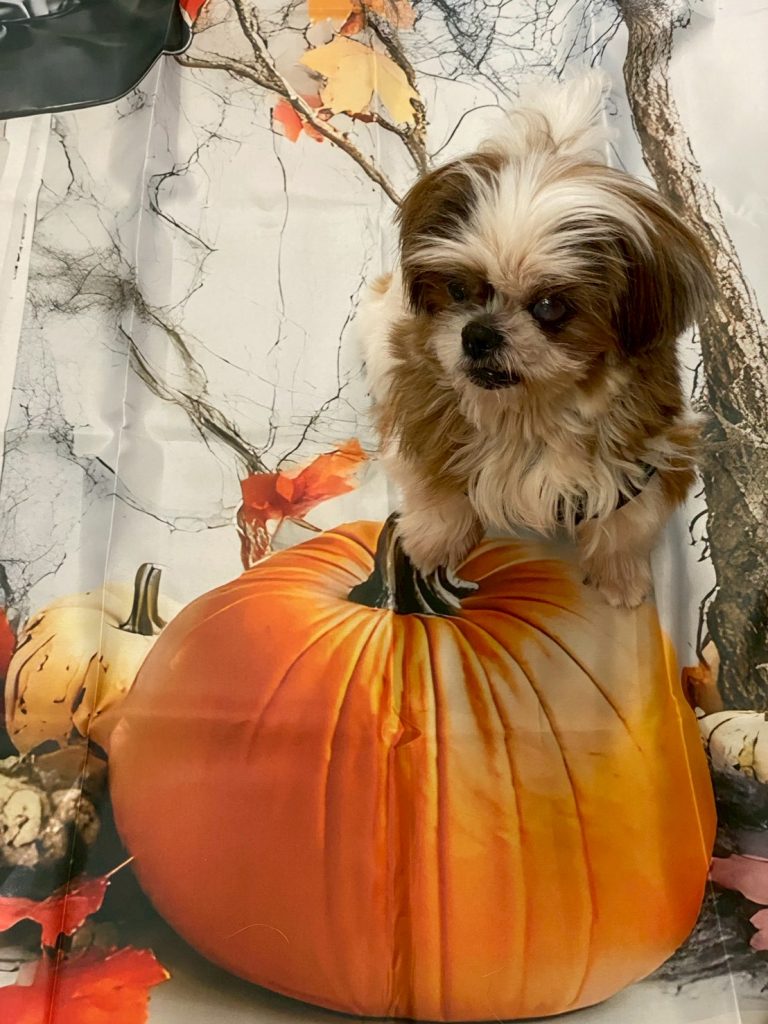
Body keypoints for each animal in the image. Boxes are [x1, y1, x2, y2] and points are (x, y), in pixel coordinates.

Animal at [356, 74, 715, 608]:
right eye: (457, 289)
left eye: (549, 307)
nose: (478, 334)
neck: (529, 415)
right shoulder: (422, 414)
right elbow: (437, 492)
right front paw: (433, 544)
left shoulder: (646, 454)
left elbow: (627, 526)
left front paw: (619, 575)